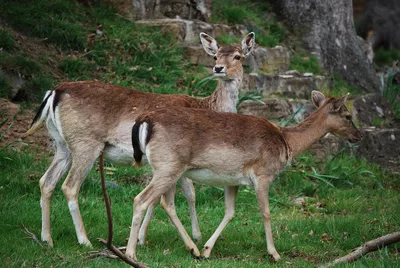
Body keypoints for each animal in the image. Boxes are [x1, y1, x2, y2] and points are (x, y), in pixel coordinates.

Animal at [25, 32, 256, 248]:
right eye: (215, 56)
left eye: (237, 56)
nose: (218, 68)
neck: (207, 106)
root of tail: (54, 92)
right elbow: (178, 195)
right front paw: (159, 238)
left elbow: (186, 194)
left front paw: (152, 238)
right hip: (85, 143)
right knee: (69, 186)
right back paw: (84, 240)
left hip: (62, 144)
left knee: (46, 181)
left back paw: (47, 238)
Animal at [126, 90, 360, 262]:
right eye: (348, 116)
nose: (358, 136)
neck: (286, 142)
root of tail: (145, 120)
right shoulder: (263, 173)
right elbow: (266, 212)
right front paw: (274, 254)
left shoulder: (232, 180)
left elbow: (230, 212)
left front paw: (207, 249)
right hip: (169, 166)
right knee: (141, 199)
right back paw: (131, 254)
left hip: (168, 169)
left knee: (165, 203)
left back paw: (193, 249)